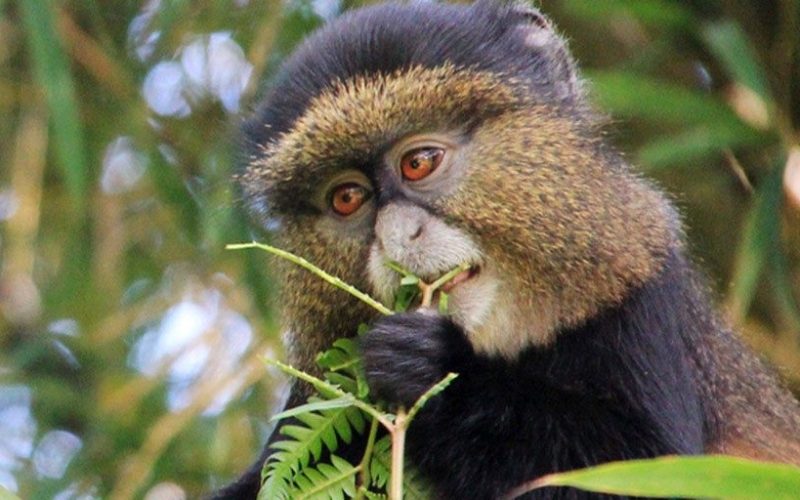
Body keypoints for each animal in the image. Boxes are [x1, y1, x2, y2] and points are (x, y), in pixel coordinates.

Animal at [215, 1, 800, 498]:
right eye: (347, 198)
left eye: (419, 163)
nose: (398, 238)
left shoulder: (641, 294)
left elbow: (644, 468)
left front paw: (433, 367)